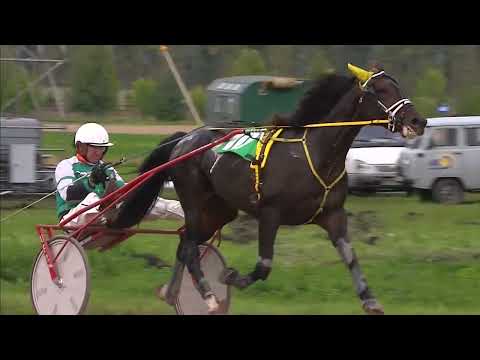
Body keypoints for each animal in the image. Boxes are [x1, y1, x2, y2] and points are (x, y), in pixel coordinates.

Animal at [111, 64, 428, 316]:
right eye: (381, 89)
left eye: (397, 86)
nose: (418, 121)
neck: (316, 154)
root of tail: (184, 139)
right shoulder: (269, 213)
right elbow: (264, 265)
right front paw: (231, 277)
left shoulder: (333, 215)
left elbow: (351, 257)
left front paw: (370, 300)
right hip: (194, 201)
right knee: (189, 248)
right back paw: (210, 297)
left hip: (220, 209)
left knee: (183, 244)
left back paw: (171, 293)